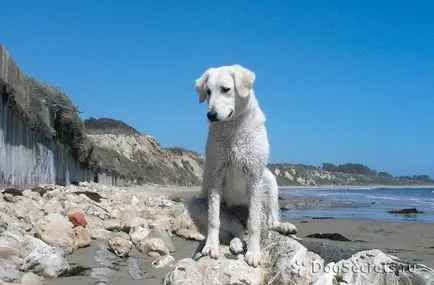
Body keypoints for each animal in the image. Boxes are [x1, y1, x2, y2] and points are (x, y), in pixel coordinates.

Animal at [190, 63, 298, 266]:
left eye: (226, 89)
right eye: (208, 92)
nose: (211, 115)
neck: (233, 126)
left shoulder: (254, 176)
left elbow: (254, 223)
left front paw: (254, 252)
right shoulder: (216, 174)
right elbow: (214, 220)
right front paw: (211, 247)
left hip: (269, 180)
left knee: (267, 223)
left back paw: (284, 226)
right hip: (197, 204)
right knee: (238, 230)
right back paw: (236, 243)